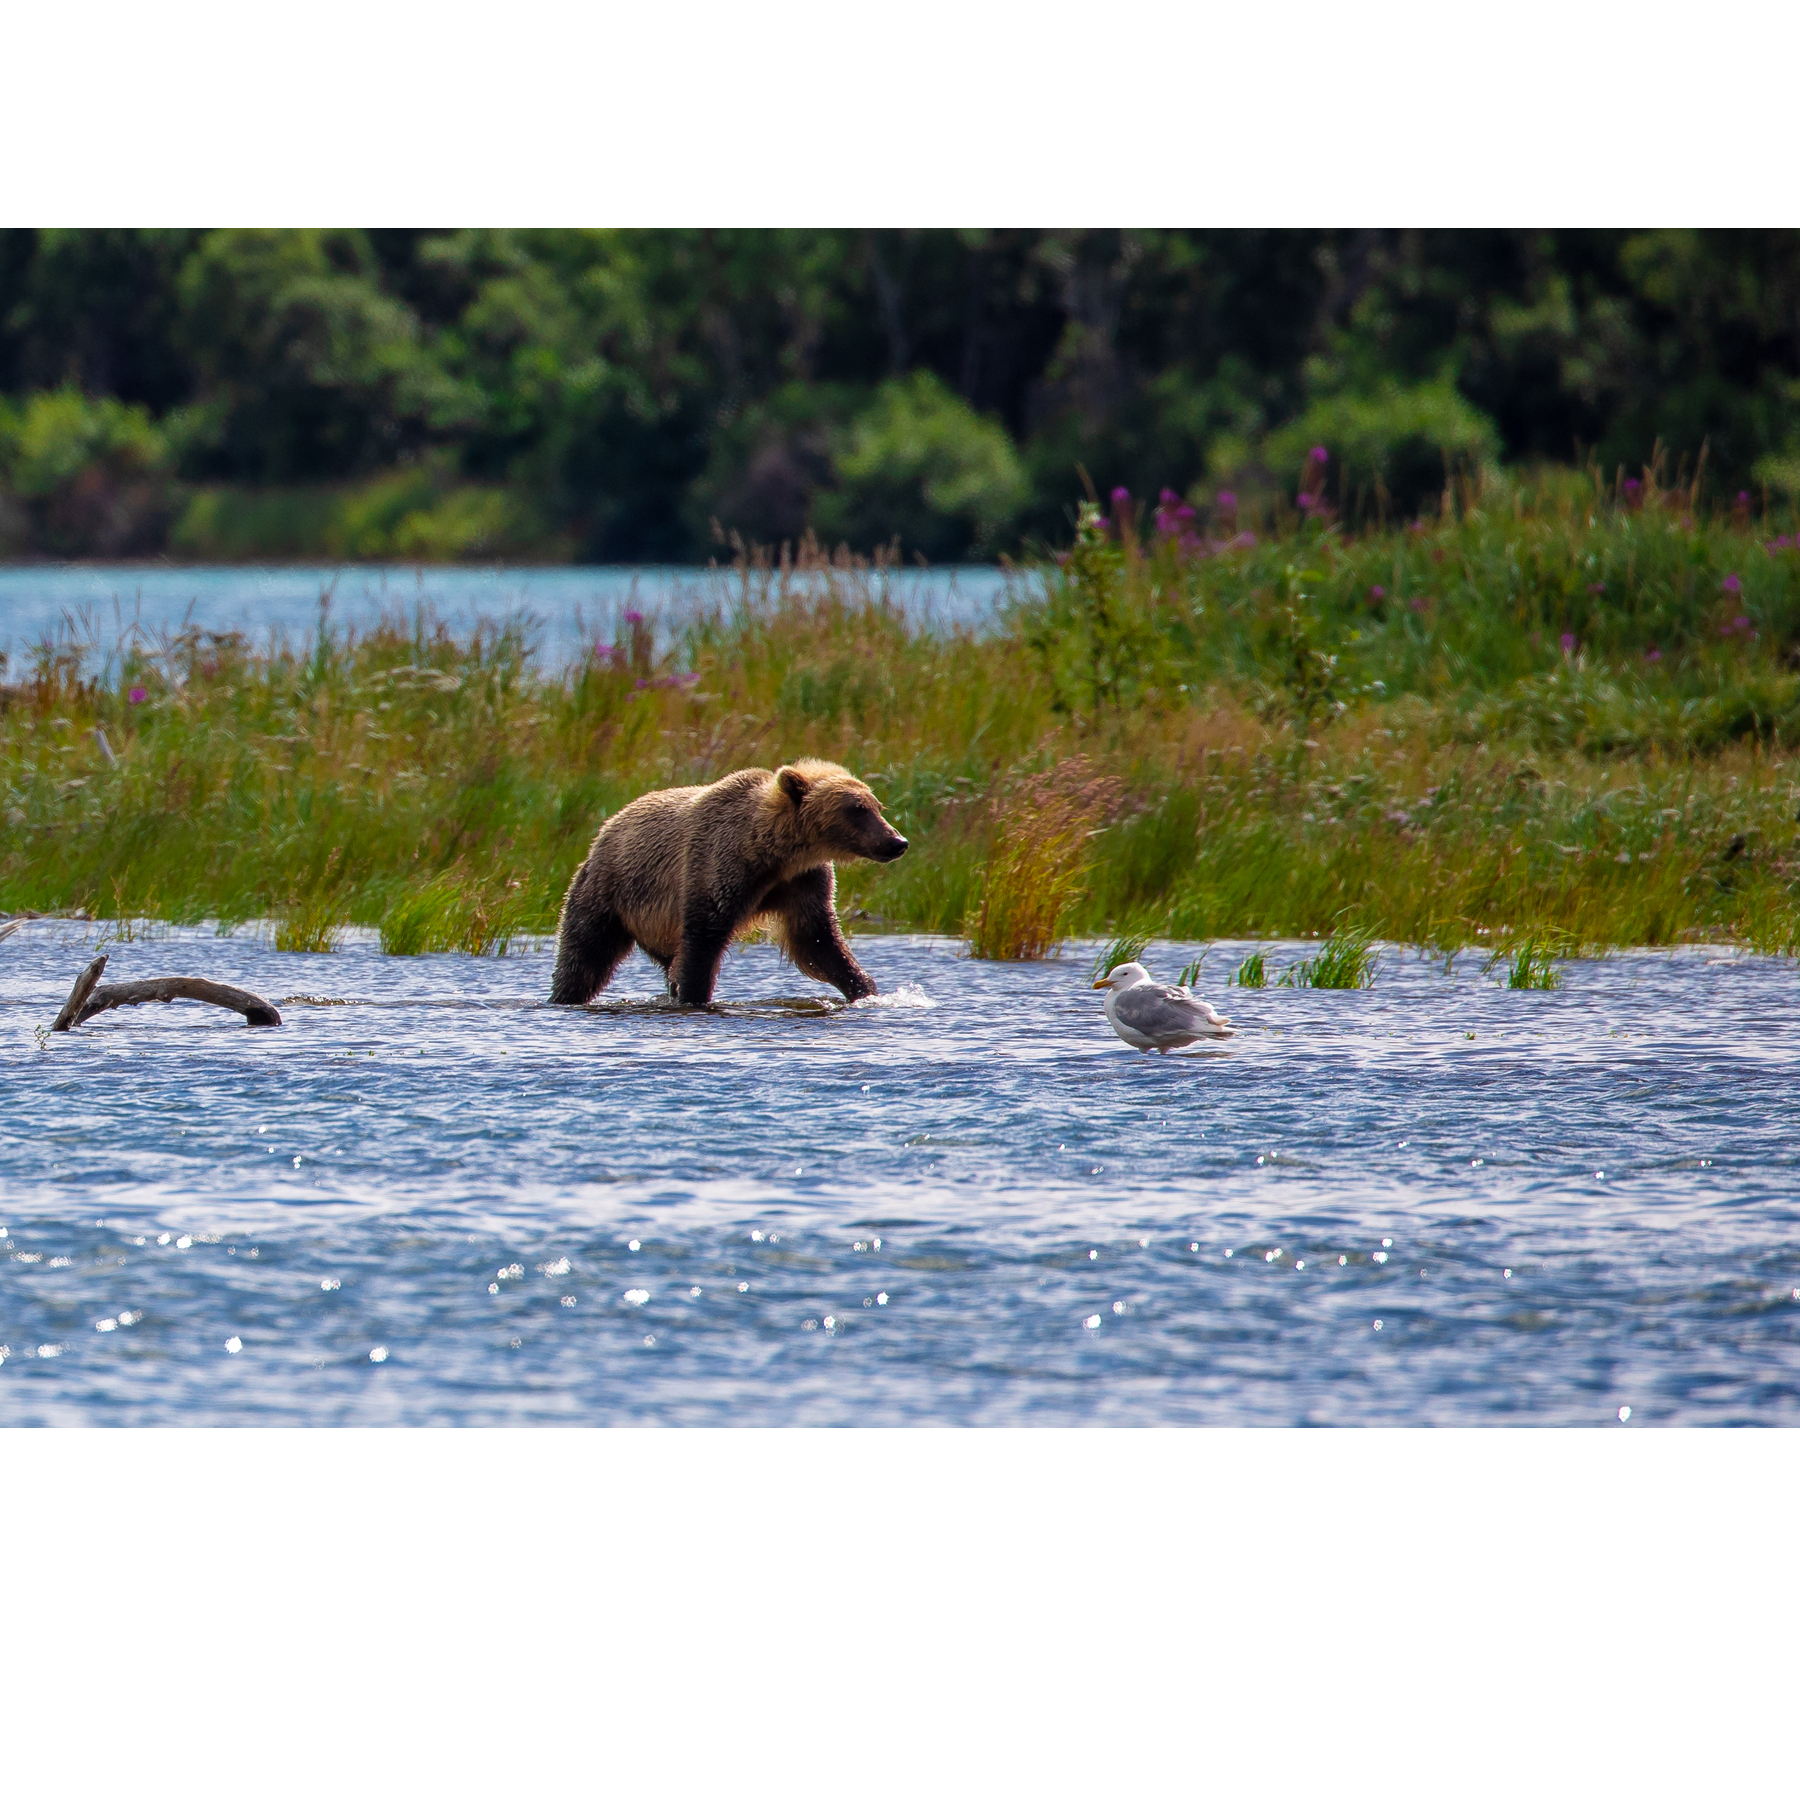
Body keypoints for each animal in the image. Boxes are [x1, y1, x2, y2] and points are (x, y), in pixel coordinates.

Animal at [547, 756, 907, 1008]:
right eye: (856, 809)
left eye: (877, 806)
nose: (897, 842)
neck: (774, 851)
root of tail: (605, 829)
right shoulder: (719, 866)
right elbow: (703, 939)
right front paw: (694, 995)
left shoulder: (803, 880)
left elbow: (818, 939)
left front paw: (864, 988)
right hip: (607, 891)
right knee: (585, 954)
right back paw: (564, 996)